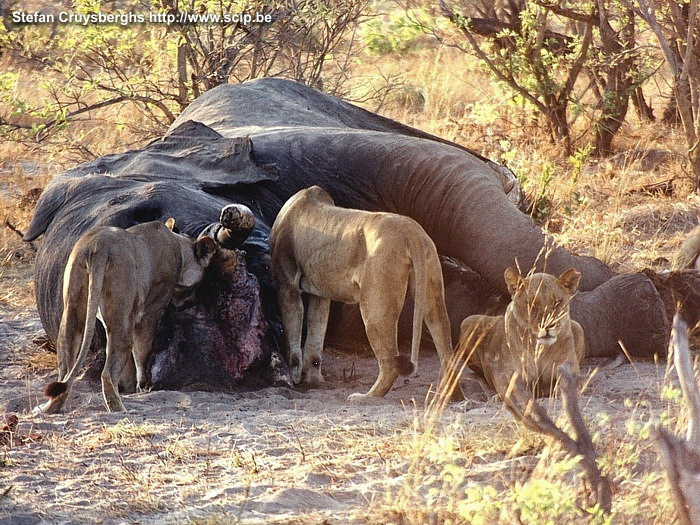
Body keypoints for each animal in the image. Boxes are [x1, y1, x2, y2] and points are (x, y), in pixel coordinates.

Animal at [34, 219, 216, 412]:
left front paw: (130, 388)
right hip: (122, 310)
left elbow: (128, 364)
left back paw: (50, 407)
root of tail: (98, 246)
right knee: (108, 372)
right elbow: (142, 351)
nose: (188, 303)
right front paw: (143, 385)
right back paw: (119, 409)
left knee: (65, 368)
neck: (180, 247)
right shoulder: (150, 312)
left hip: (74, 306)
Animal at [270, 185, 464, 402]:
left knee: (390, 364)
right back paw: (453, 395)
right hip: (431, 291)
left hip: (375, 305)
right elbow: (315, 337)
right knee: (444, 344)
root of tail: (412, 232)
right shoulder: (321, 293)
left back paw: (364, 397)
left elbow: (293, 335)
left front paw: (295, 377)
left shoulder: (287, 284)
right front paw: (314, 381)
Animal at [460, 266, 584, 398]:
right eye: (532, 304)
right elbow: (513, 390)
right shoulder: (507, 373)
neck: (540, 349)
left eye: (557, 302)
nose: (547, 325)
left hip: (578, 327)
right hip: (468, 321)